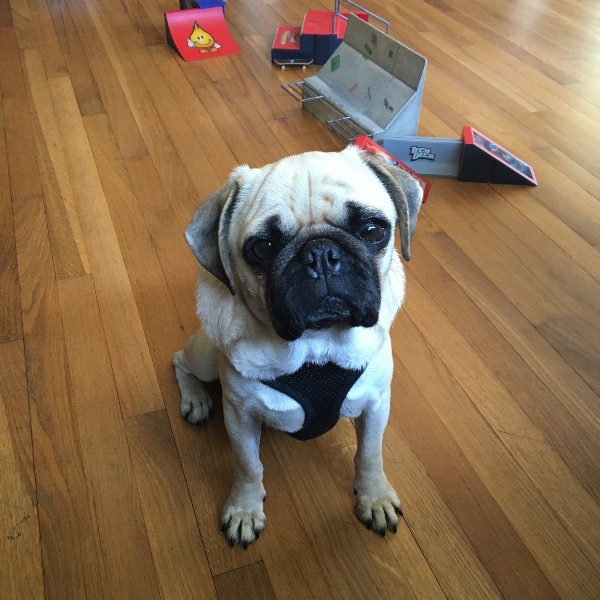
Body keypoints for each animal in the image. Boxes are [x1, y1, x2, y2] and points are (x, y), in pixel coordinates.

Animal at [173, 145, 422, 548]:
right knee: (180, 360)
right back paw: (195, 399)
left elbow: (370, 454)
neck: (315, 346)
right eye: (262, 248)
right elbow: (247, 465)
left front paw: (374, 496)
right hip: (205, 357)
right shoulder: (239, 415)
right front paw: (244, 508)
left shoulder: (375, 404)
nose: (320, 253)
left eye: (373, 231)